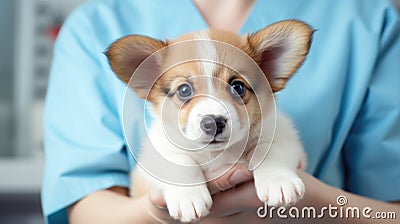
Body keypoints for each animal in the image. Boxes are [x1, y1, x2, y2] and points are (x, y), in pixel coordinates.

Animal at [106, 19, 312, 222]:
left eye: (238, 87)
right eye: (184, 90)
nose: (213, 122)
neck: (217, 153)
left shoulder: (283, 138)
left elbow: (268, 151)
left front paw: (279, 181)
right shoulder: (154, 158)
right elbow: (179, 161)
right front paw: (188, 198)